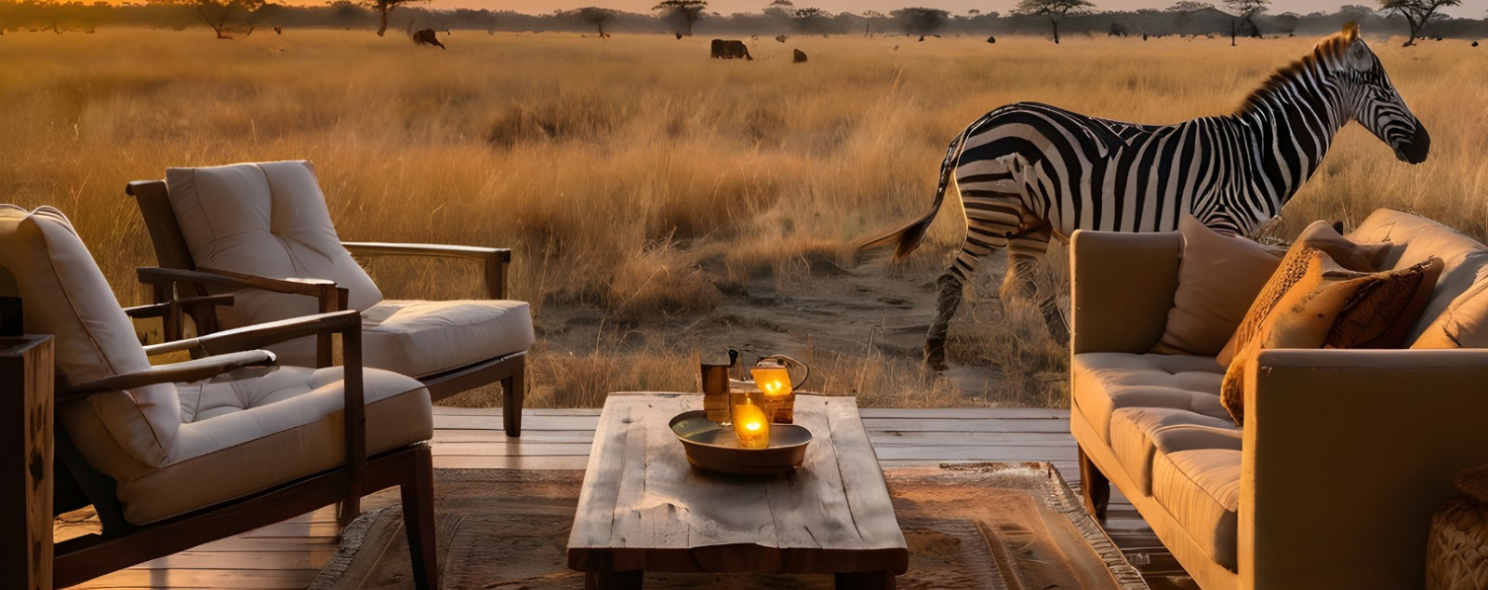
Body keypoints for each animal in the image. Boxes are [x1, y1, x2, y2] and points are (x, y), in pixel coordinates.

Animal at [856, 22, 1430, 369]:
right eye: (1381, 85)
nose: (1425, 145)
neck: (1258, 153)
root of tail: (978, 121)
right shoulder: (1221, 223)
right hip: (991, 211)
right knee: (955, 278)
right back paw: (935, 355)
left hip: (1029, 219)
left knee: (1024, 284)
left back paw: (1059, 345)